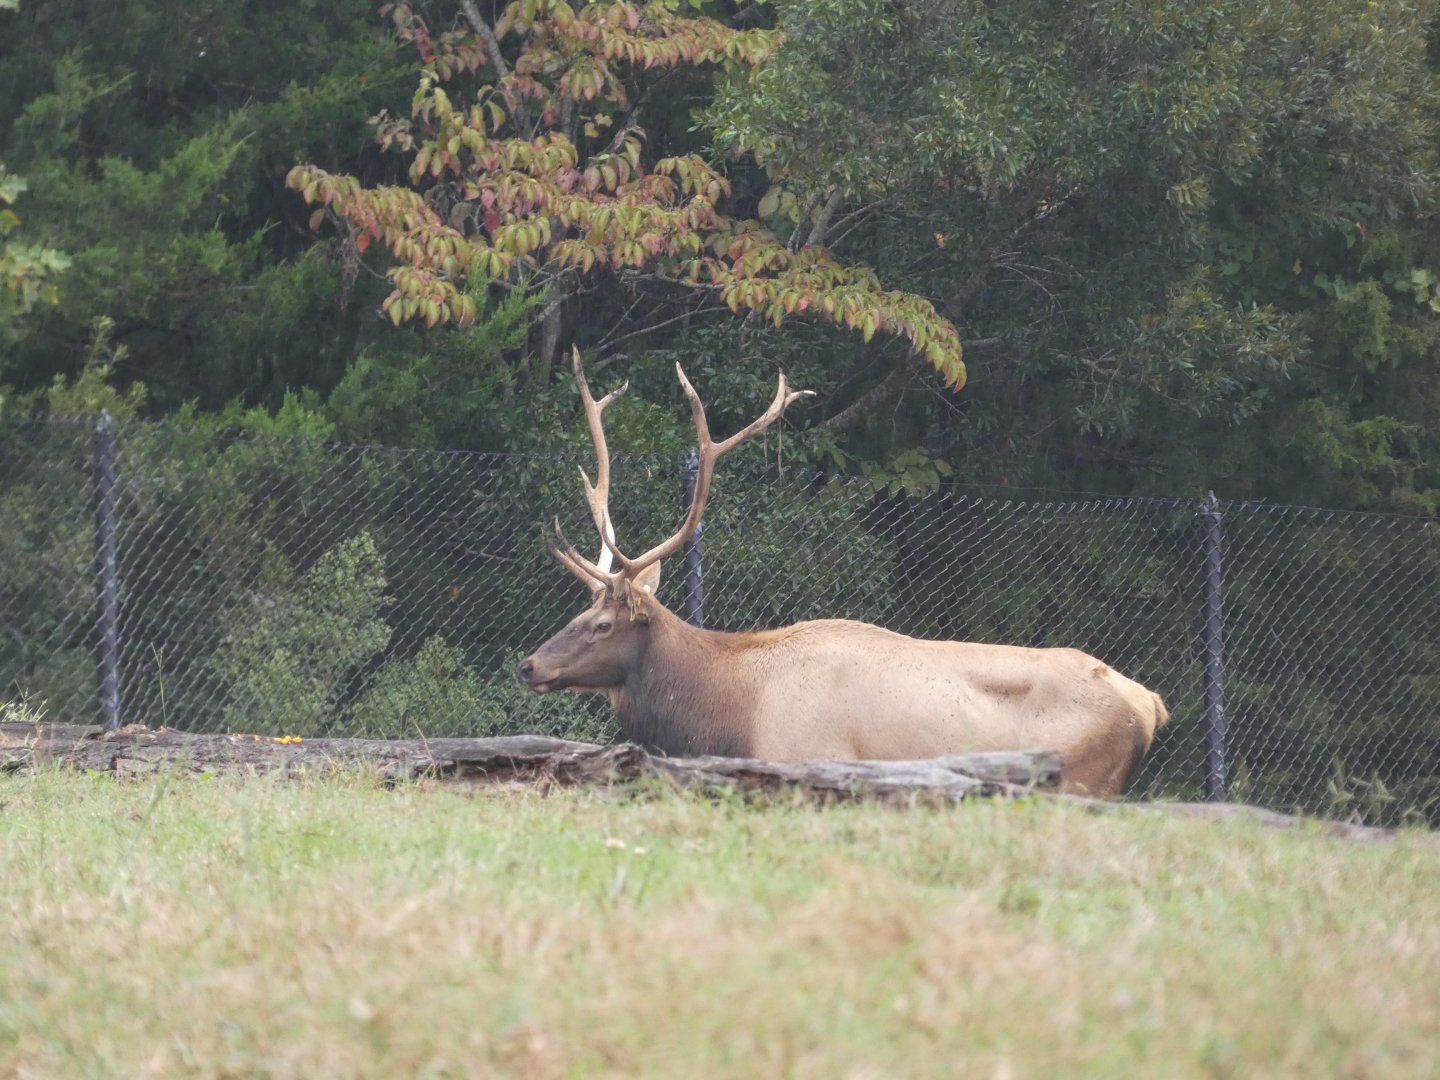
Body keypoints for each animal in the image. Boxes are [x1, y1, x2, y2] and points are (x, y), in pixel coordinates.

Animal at [516, 349, 1169, 798]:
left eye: (603, 623)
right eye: (579, 611)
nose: (529, 664)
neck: (726, 717)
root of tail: (1151, 703)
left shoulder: (805, 759)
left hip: (1084, 781)